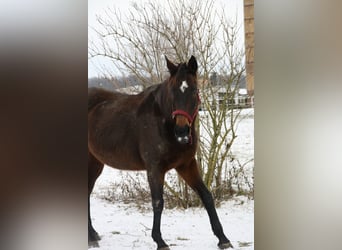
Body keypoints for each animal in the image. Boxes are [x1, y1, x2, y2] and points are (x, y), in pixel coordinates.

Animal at [88, 56, 232, 250]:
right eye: (172, 92)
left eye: (194, 90)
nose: (182, 131)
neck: (162, 122)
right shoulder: (155, 169)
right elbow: (158, 202)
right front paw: (160, 241)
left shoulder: (186, 165)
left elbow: (207, 196)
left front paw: (223, 238)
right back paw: (90, 237)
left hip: (95, 163)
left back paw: (93, 234)